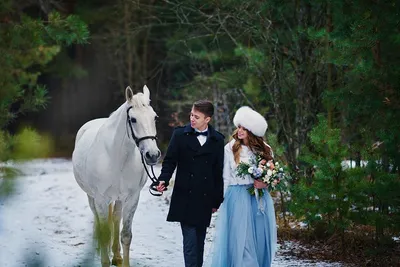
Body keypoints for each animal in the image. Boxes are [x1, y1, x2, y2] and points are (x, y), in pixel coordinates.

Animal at [72, 86, 161, 267]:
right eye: (133, 119)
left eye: (155, 117)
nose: (153, 155)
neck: (117, 157)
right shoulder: (100, 198)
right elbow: (105, 233)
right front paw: (104, 258)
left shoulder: (132, 198)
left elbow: (126, 235)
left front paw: (121, 259)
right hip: (92, 197)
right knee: (98, 218)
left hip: (119, 199)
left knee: (115, 218)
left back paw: (117, 255)